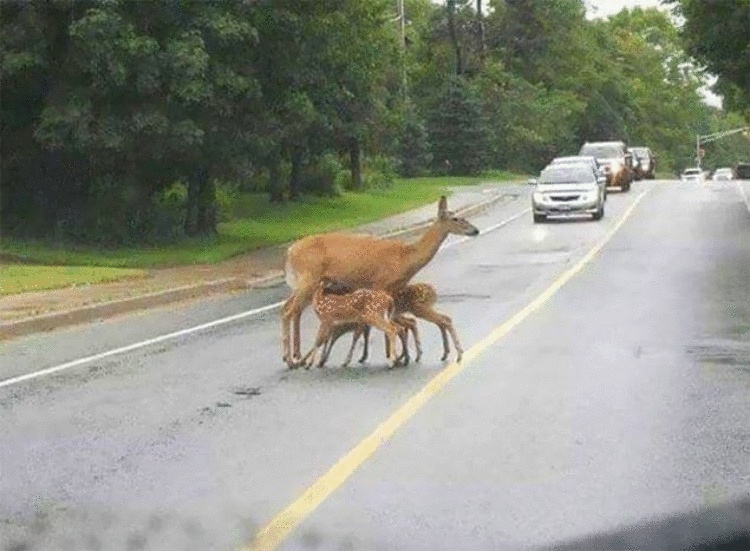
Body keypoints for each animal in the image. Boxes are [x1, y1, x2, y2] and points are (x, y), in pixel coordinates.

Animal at [282, 196, 482, 368]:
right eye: (456, 218)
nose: (475, 230)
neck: (405, 258)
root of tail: (290, 252)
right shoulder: (381, 284)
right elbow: (378, 325)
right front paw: (393, 356)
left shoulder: (390, 290)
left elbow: (388, 322)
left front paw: (397, 356)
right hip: (309, 278)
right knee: (291, 311)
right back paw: (293, 358)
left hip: (305, 283)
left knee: (287, 307)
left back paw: (292, 356)